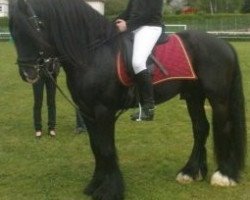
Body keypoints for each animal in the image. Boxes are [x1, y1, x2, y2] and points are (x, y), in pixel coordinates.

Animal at [9, 0, 246, 199]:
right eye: (13, 30)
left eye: (35, 26)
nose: (28, 74)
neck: (93, 54)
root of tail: (223, 44)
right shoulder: (88, 112)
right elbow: (97, 148)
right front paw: (95, 185)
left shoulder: (103, 111)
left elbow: (106, 148)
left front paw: (110, 190)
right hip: (193, 96)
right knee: (200, 128)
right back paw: (189, 172)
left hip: (218, 98)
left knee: (223, 127)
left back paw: (223, 176)